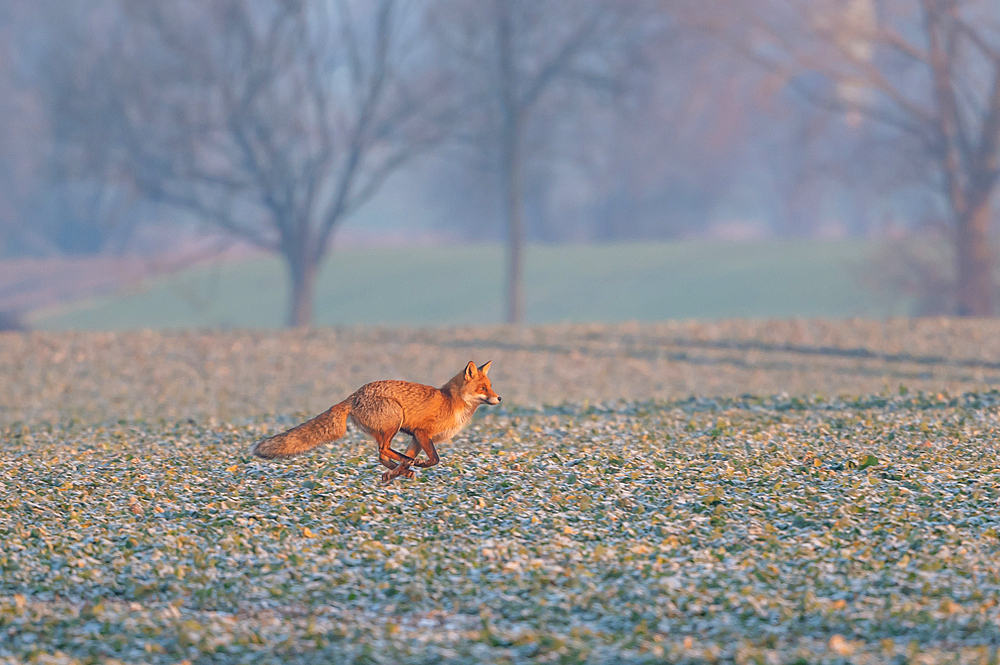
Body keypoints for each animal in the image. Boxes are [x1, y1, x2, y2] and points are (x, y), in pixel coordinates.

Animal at [250, 360, 500, 480]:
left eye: (490, 386)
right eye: (482, 388)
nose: (499, 398)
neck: (451, 402)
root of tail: (353, 395)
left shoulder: (417, 438)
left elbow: (413, 459)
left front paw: (395, 474)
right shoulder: (422, 433)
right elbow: (434, 459)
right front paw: (413, 466)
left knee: (382, 454)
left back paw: (399, 468)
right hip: (395, 420)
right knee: (384, 449)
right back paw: (404, 464)